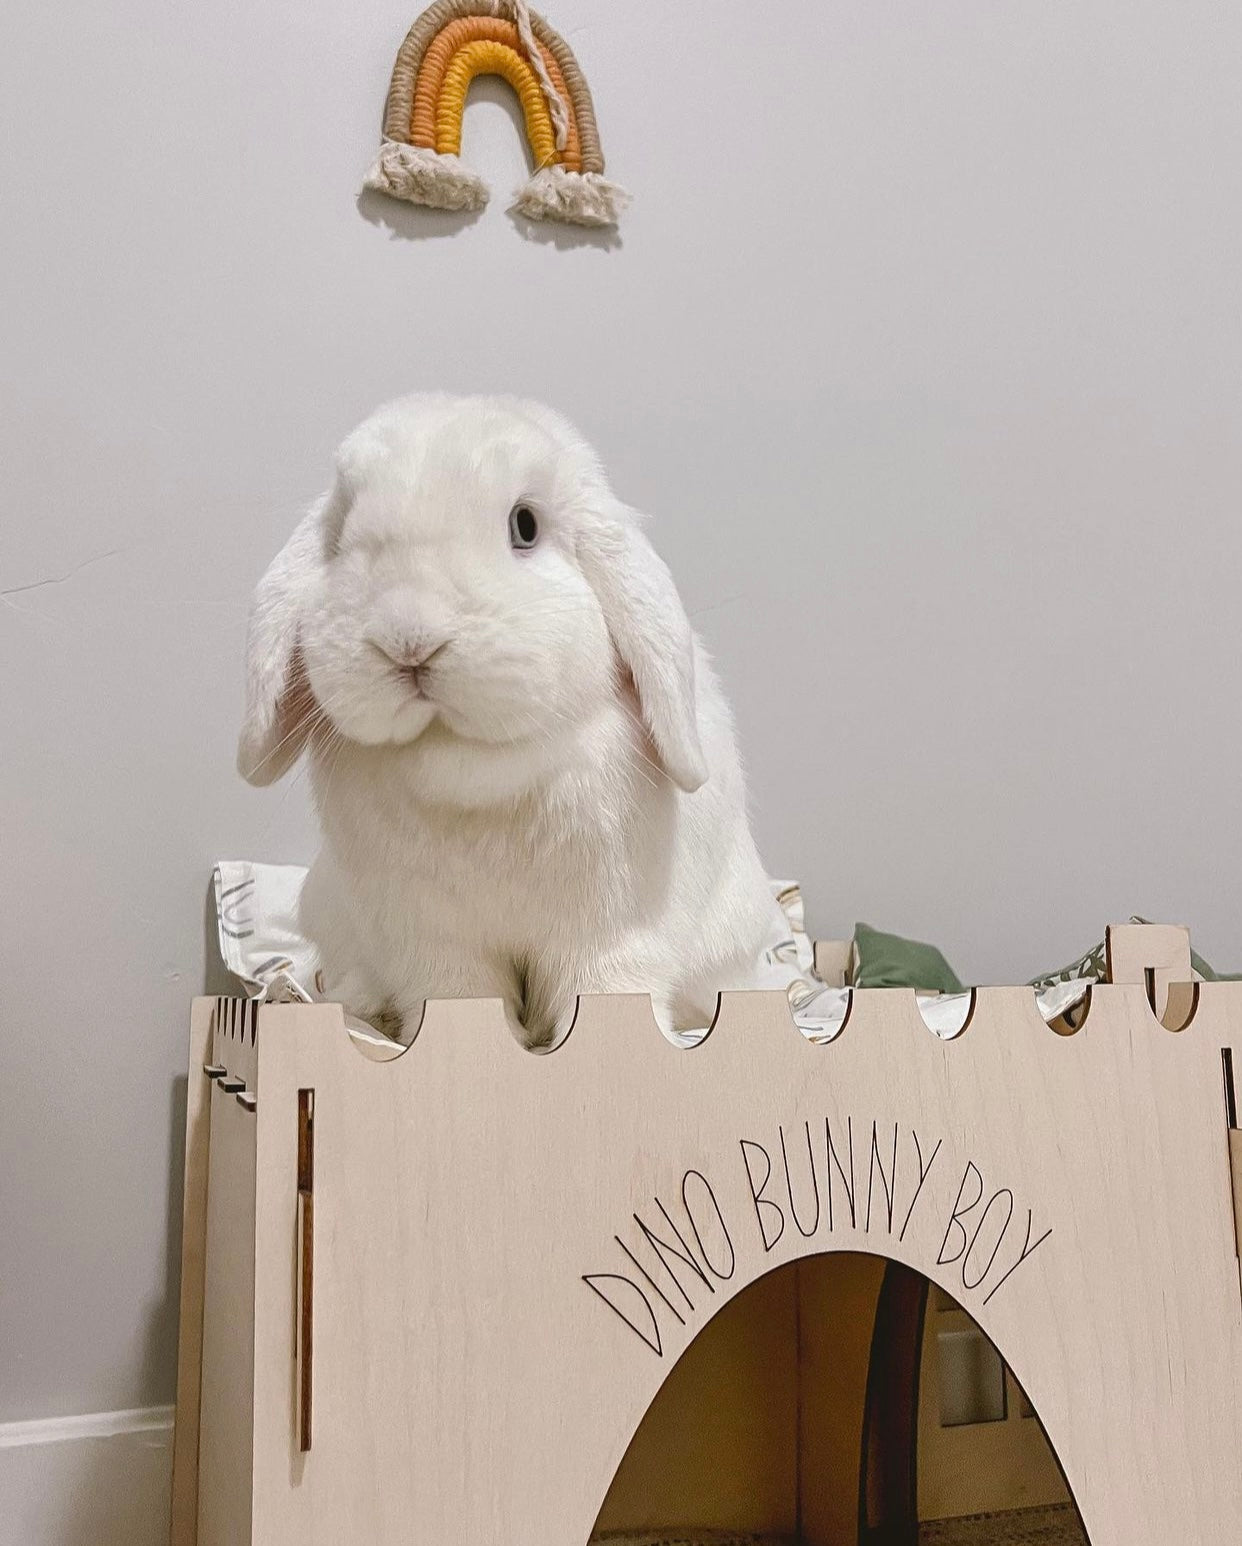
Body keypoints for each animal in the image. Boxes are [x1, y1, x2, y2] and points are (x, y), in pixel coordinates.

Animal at [238, 398, 785, 1045]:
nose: (407, 639)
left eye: (525, 526)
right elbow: (458, 1001)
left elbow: (607, 994)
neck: (468, 771)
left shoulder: (613, 933)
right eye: (342, 532)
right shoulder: (431, 943)